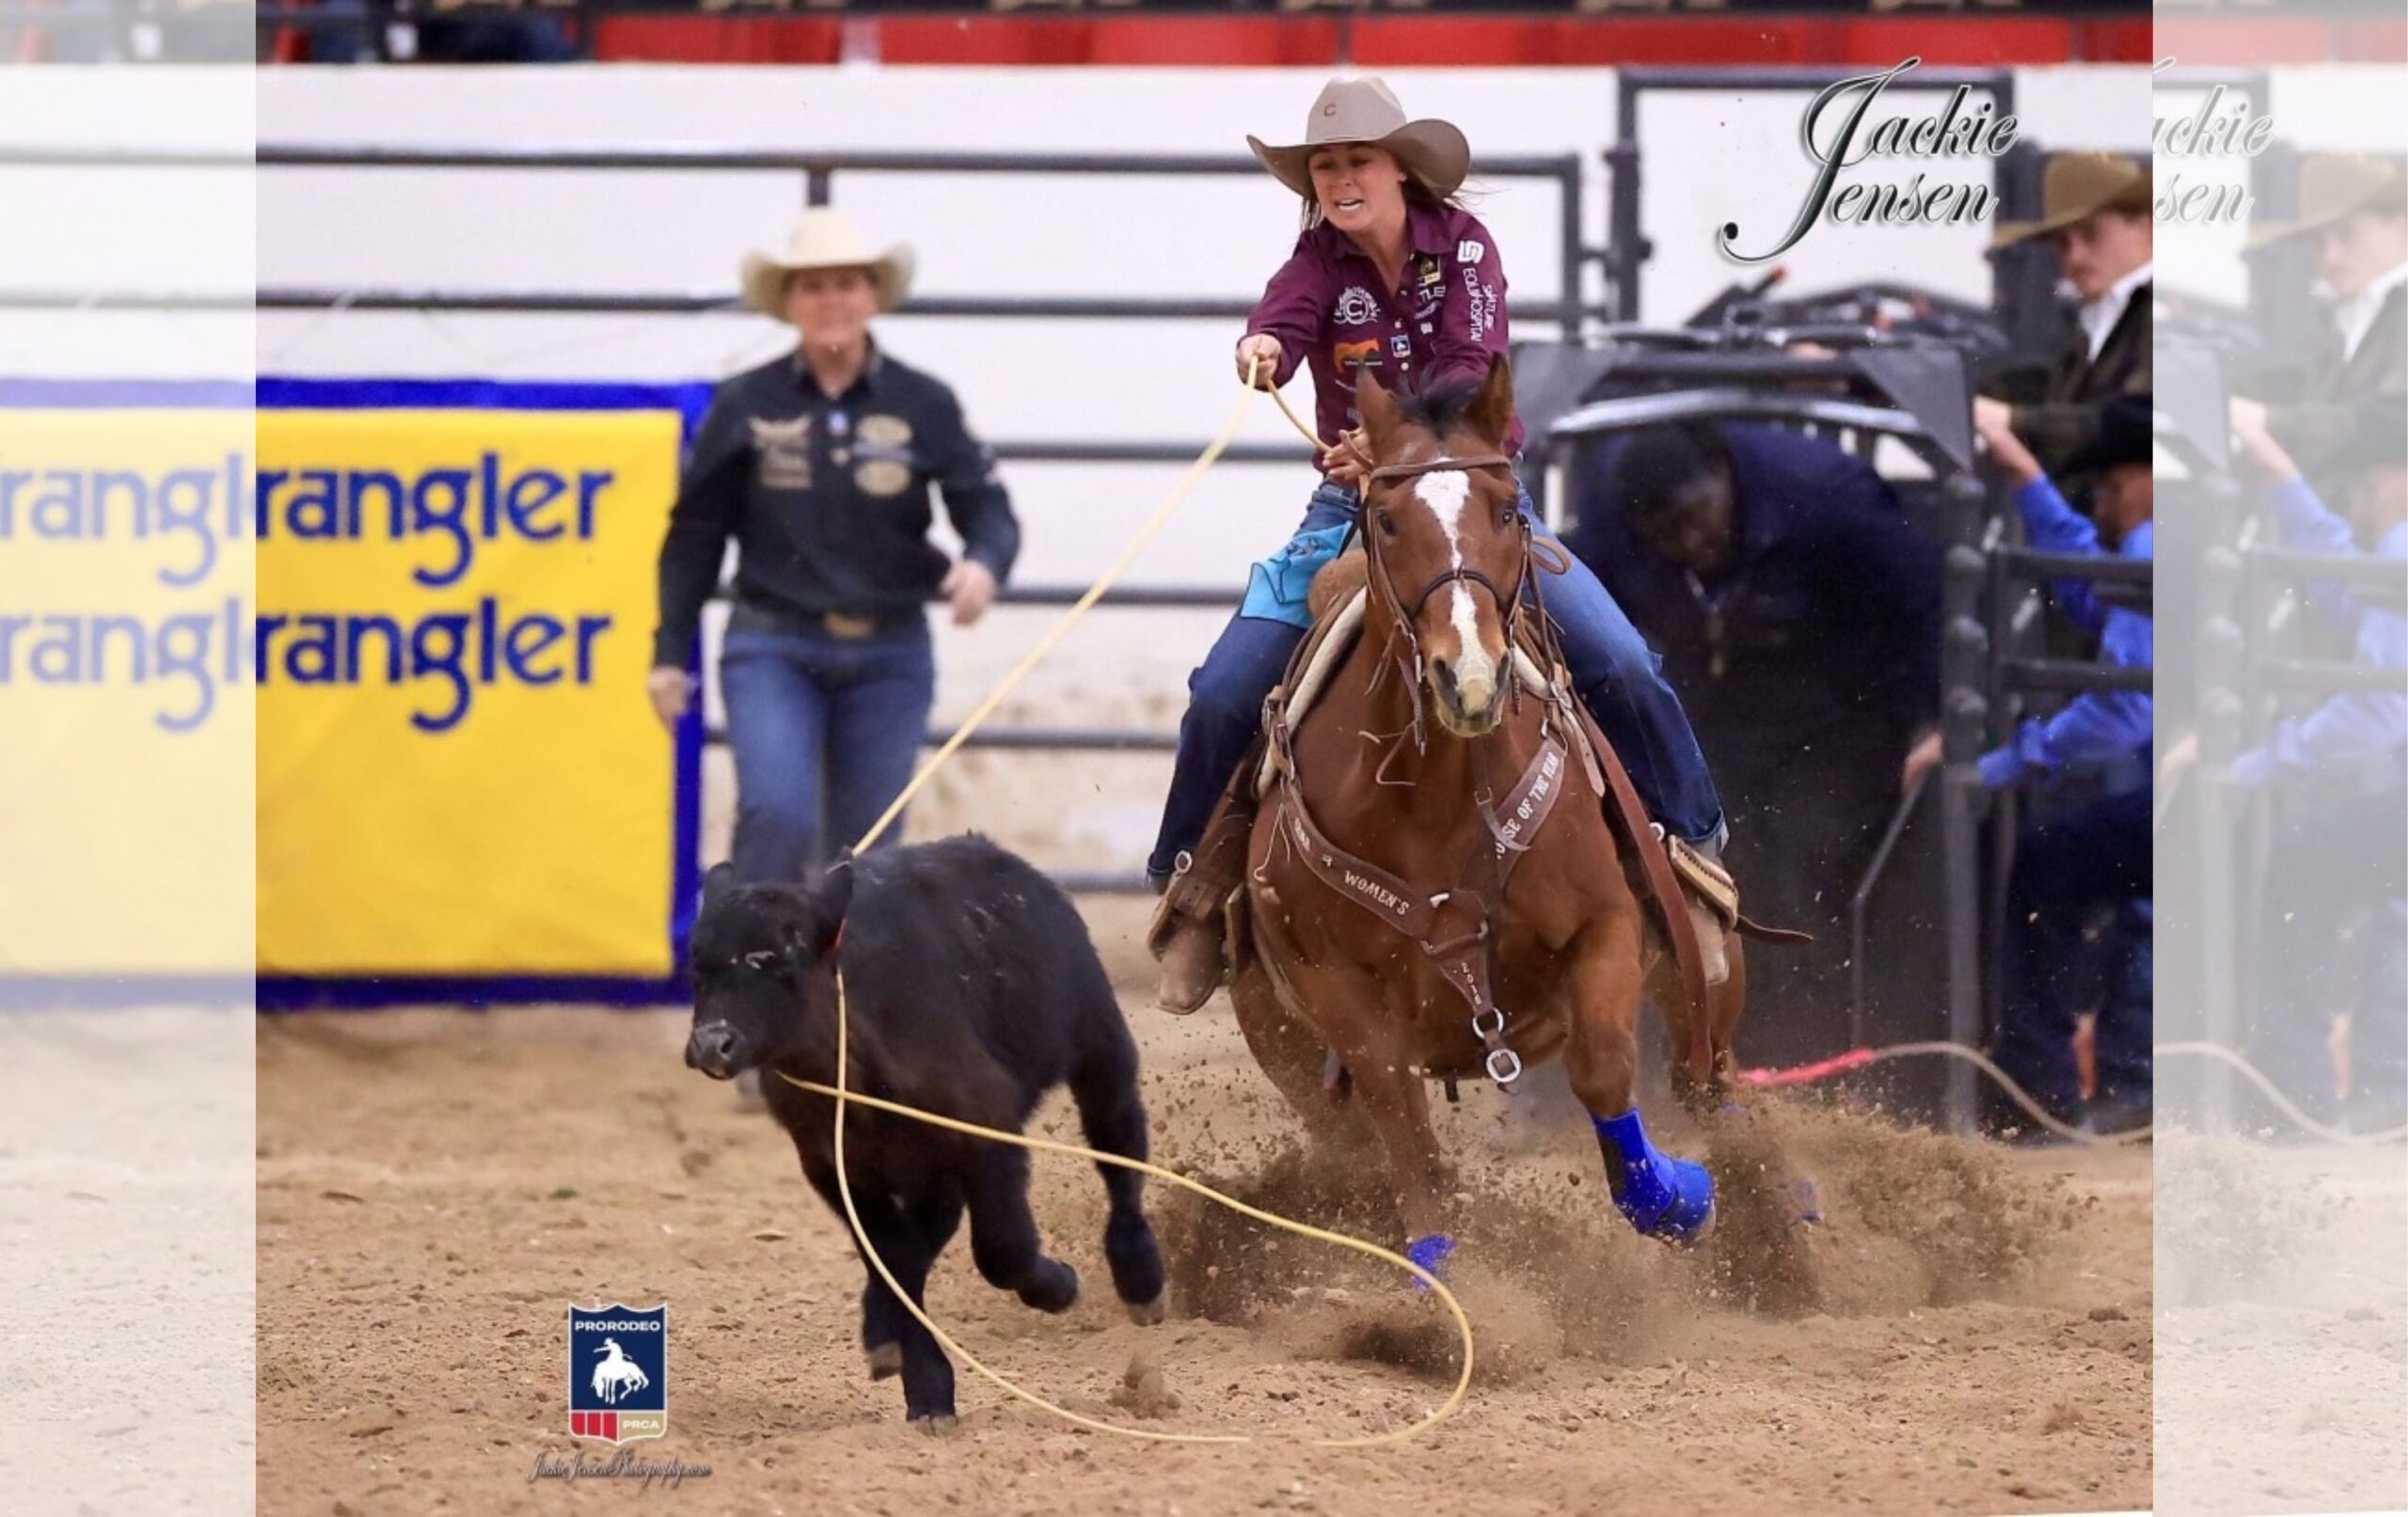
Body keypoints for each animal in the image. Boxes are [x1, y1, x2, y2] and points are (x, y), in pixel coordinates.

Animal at [684, 837, 1170, 1434]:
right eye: (698, 966)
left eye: (776, 961)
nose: (712, 1044)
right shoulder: (836, 1169)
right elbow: (895, 1259)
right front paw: (928, 1386)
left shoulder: (987, 1129)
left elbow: (1002, 1249)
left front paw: (1056, 1284)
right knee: (928, 1232)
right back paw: (882, 1333)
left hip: (1101, 1049)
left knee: (1119, 1149)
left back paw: (1141, 1279)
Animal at [1232, 356, 1743, 1271]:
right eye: (1387, 520)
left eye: (1507, 509)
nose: (1468, 678)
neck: (1435, 802)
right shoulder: (1337, 994)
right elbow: (1409, 1141)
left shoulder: (1606, 925)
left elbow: (1604, 1070)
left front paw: (1682, 1200)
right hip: (1284, 1045)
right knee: (1359, 1147)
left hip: (1699, 980)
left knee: (1713, 1088)